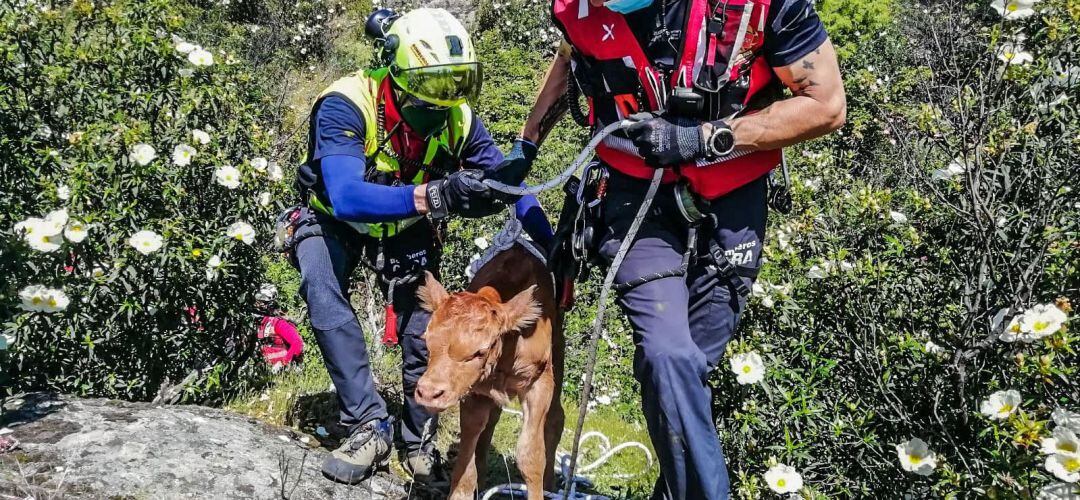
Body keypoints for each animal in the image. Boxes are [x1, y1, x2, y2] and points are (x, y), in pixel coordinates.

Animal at [412, 245, 565, 500]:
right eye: (427, 340)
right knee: (490, 424)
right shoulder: (473, 391)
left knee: (556, 419)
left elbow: (531, 456)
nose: (428, 393)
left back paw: (551, 485)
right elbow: (466, 461)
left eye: (479, 351)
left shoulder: (539, 384)